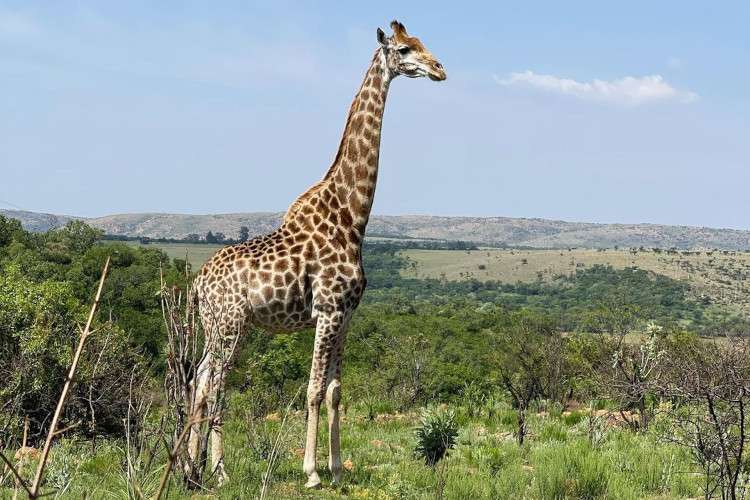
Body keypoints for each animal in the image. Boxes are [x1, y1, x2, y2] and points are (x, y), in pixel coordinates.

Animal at [191, 20, 446, 488]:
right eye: (405, 49)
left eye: (423, 44)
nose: (440, 69)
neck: (352, 216)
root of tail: (199, 283)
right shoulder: (327, 310)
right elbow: (310, 390)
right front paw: (310, 472)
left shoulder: (346, 314)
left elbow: (334, 391)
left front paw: (338, 469)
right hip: (231, 325)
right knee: (215, 384)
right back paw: (219, 471)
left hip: (218, 326)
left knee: (200, 380)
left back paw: (190, 466)